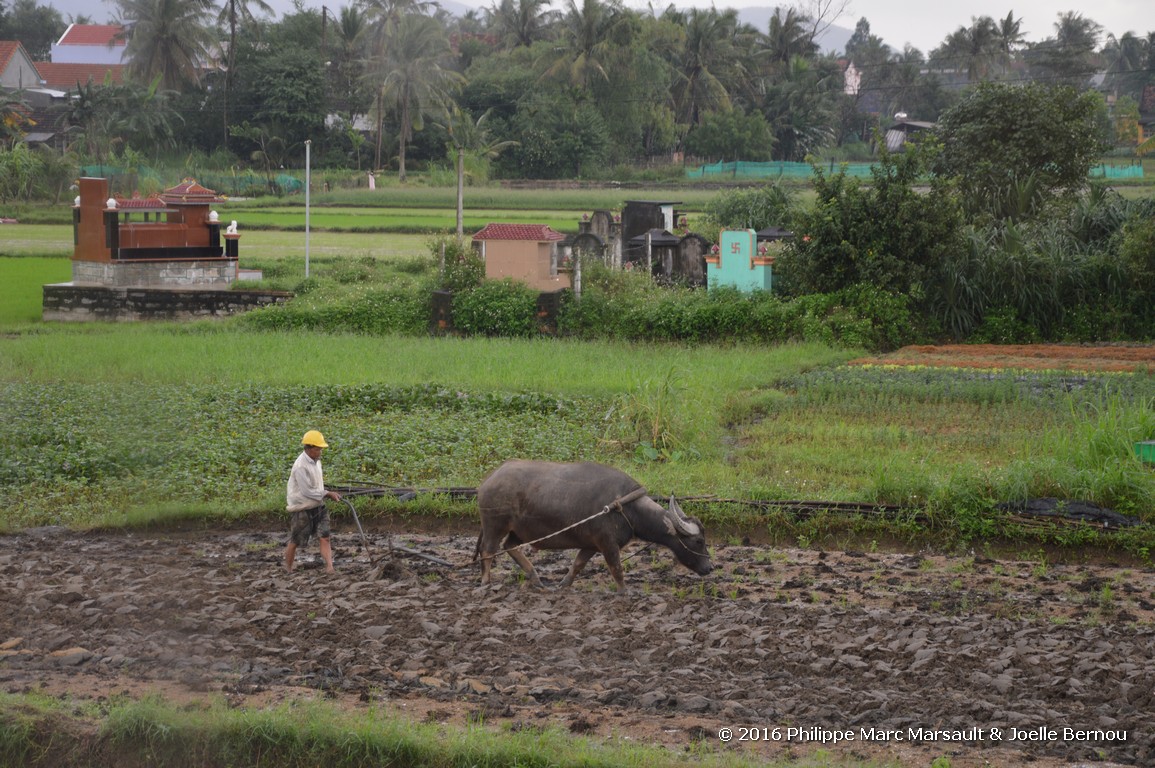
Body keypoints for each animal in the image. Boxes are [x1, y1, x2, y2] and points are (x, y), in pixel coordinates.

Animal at [471, 457, 706, 588]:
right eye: (698, 541)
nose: (710, 567)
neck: (627, 508)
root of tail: (488, 480)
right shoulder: (607, 544)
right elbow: (617, 569)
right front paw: (625, 593)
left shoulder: (590, 545)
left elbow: (578, 564)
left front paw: (564, 584)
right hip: (494, 525)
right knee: (488, 550)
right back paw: (486, 582)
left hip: (519, 530)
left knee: (509, 546)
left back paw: (536, 579)